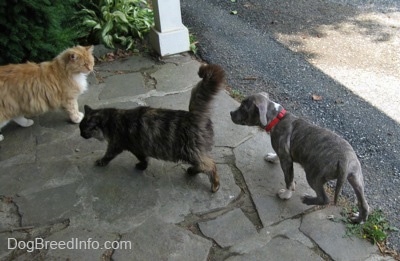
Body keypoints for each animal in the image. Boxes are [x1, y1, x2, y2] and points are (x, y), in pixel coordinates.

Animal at [79, 64, 225, 192]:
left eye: (84, 129)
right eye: (80, 128)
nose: (80, 135)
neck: (110, 120)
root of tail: (193, 115)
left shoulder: (116, 145)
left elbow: (108, 156)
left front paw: (101, 162)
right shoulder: (137, 147)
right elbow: (144, 159)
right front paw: (142, 166)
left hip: (190, 151)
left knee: (210, 165)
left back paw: (215, 185)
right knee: (203, 164)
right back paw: (192, 171)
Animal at [230, 91, 370, 221]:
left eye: (243, 108)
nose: (231, 113)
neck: (276, 117)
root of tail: (344, 159)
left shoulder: (286, 160)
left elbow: (289, 179)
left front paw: (286, 195)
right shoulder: (283, 153)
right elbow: (277, 156)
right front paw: (272, 157)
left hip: (313, 175)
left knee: (324, 199)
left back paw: (307, 199)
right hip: (356, 178)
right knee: (364, 204)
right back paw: (358, 219)